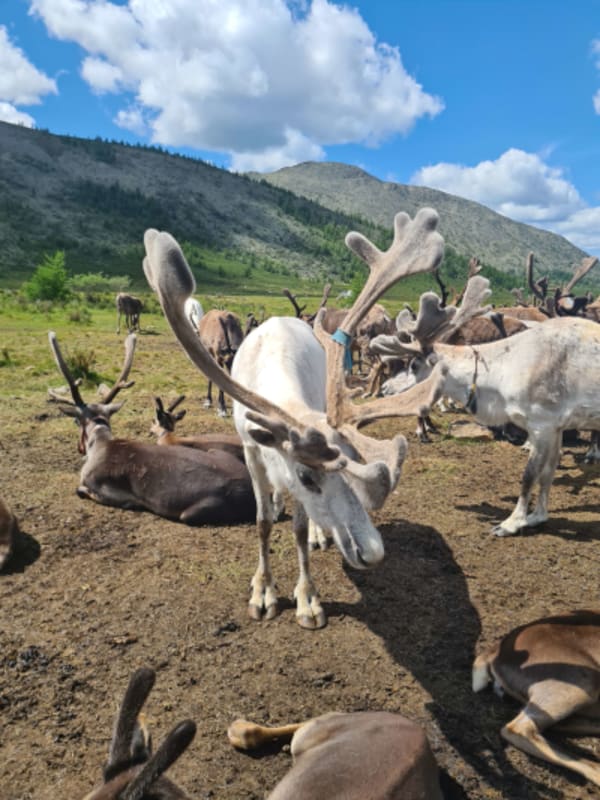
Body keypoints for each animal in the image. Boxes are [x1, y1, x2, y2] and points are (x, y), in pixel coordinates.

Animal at [48, 333, 256, 525]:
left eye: (76, 421)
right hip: (216, 452)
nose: (79, 448)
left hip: (194, 512)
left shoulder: (99, 484)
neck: (99, 443)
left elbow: (80, 490)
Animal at [142, 209, 448, 629]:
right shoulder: (252, 449)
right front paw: (263, 591)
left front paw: (307, 598)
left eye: (357, 462)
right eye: (307, 477)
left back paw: (320, 533)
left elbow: (300, 531)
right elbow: (262, 521)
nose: (372, 552)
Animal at [370, 274, 600, 537]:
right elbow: (547, 474)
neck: (504, 371)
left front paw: (512, 522)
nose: (385, 388)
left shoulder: (542, 424)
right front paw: (538, 516)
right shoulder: (557, 427)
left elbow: (529, 476)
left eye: (414, 365)